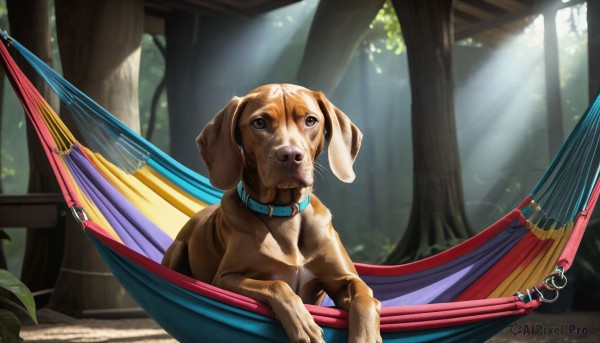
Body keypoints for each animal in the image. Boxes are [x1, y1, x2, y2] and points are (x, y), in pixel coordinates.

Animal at [163, 84, 380, 343]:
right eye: (259, 123)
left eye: (310, 120)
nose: (290, 156)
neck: (284, 213)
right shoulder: (225, 279)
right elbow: (277, 285)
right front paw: (302, 324)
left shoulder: (345, 279)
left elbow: (365, 298)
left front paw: (366, 336)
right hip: (177, 250)